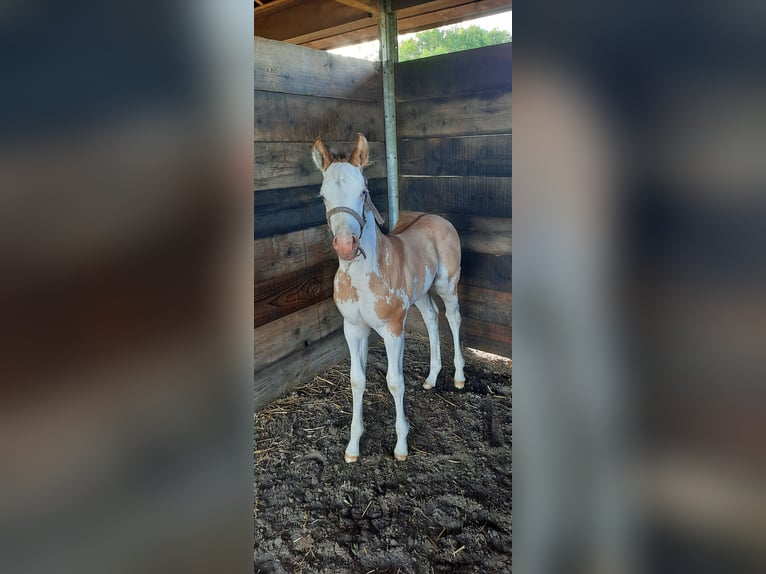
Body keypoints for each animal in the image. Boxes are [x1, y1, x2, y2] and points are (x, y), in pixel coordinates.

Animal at [312, 134, 468, 464]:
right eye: (322, 196)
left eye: (363, 192)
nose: (346, 245)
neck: (361, 277)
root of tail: (439, 219)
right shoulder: (353, 328)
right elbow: (357, 379)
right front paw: (353, 446)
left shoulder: (393, 329)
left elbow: (394, 381)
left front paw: (401, 446)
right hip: (421, 293)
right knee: (432, 319)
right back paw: (431, 378)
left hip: (447, 284)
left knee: (453, 318)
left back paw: (459, 376)